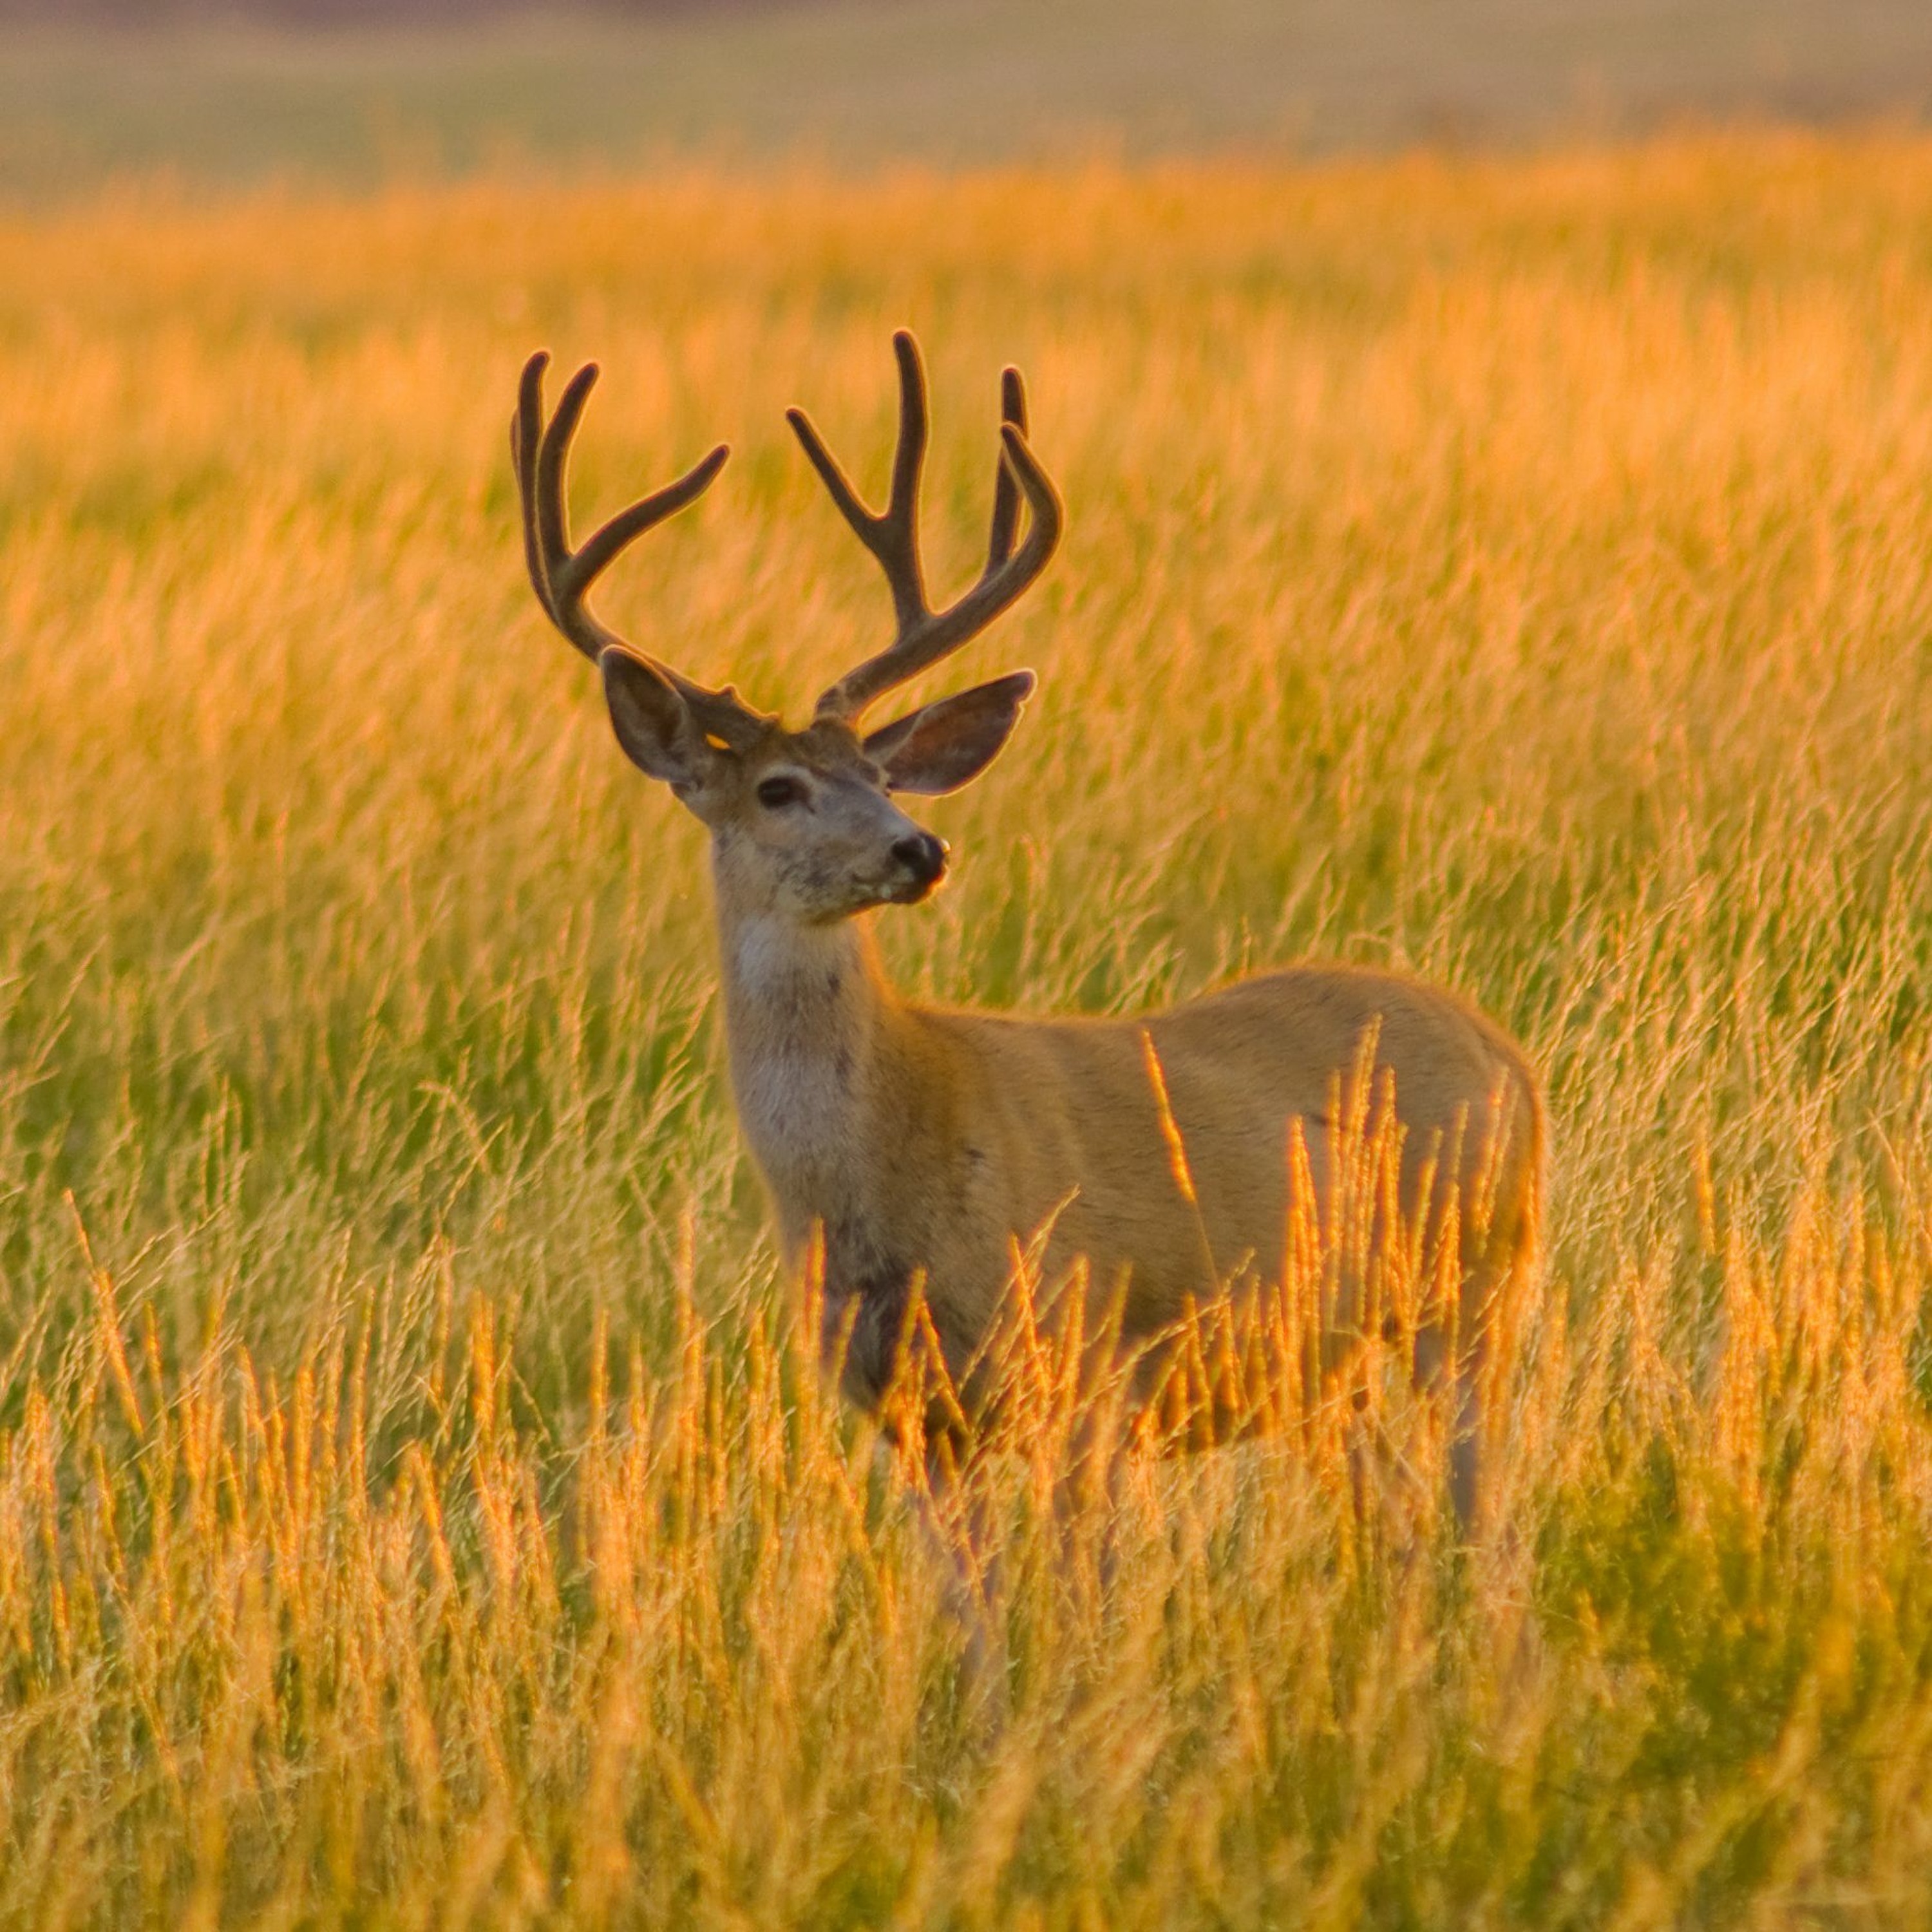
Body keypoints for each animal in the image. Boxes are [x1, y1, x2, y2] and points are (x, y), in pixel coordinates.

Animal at [509, 330, 1543, 1526]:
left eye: (878, 776)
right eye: (777, 788)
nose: (921, 850)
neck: (883, 1178)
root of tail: (1511, 1058)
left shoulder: (1081, 1361)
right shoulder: (911, 1421)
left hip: (1470, 1286)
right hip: (1332, 1363)